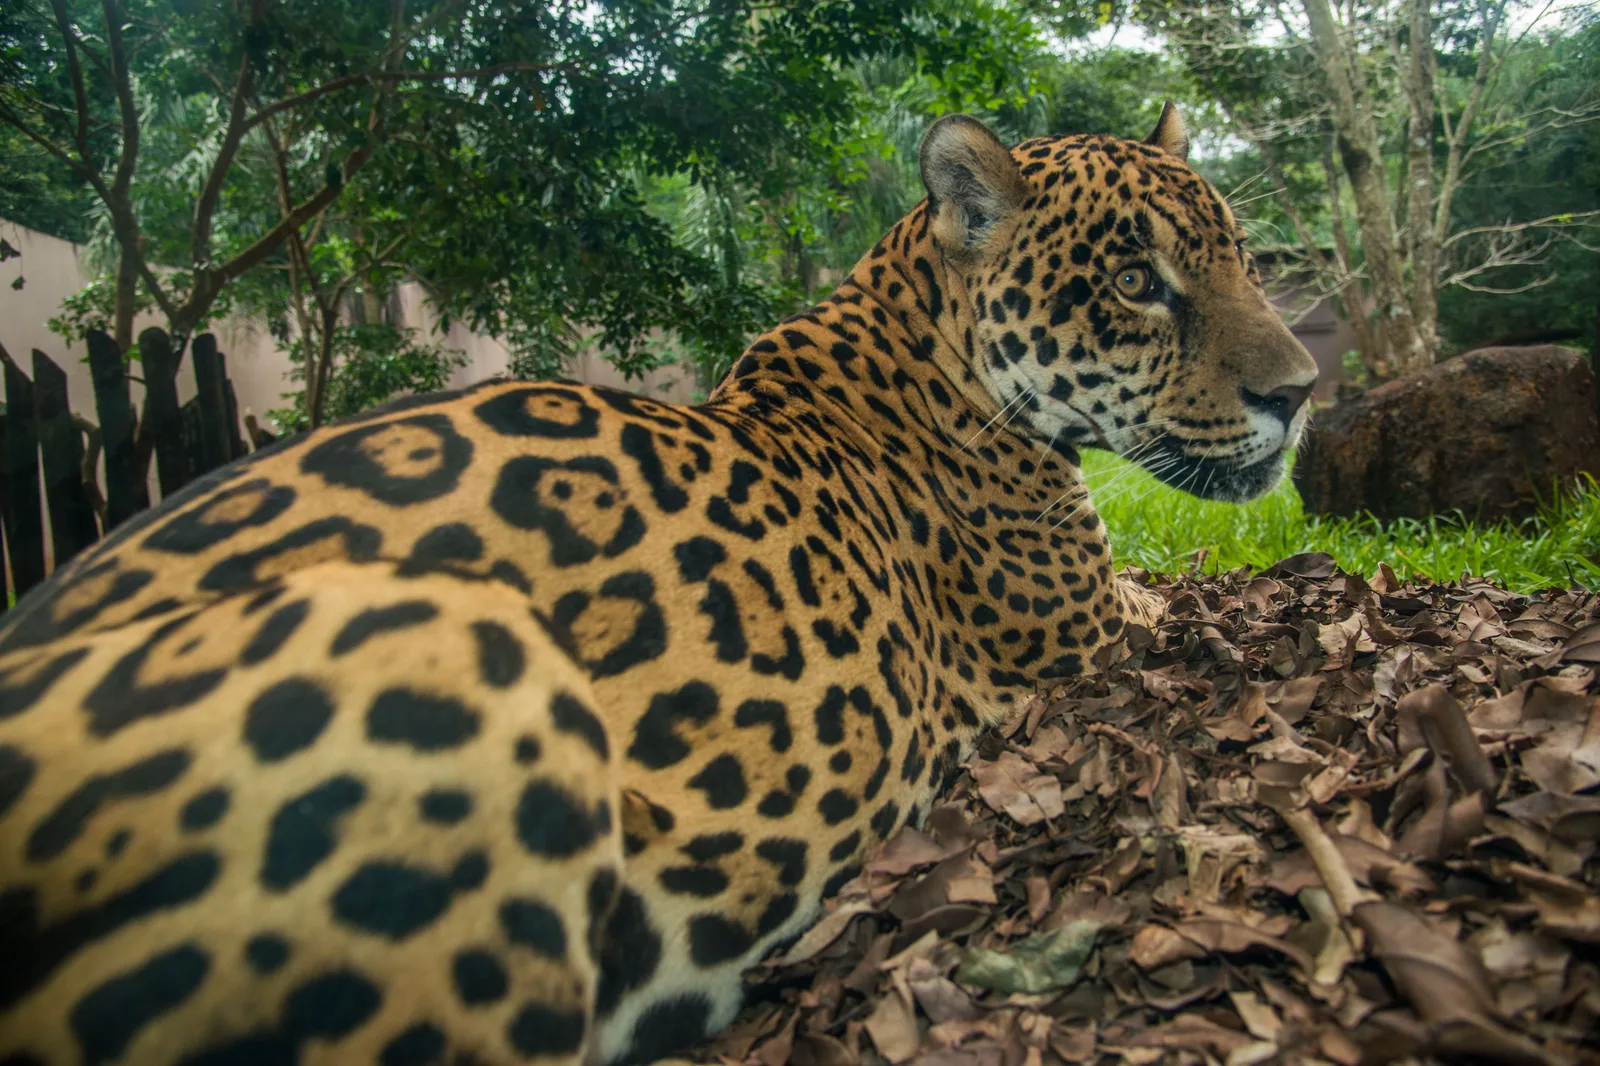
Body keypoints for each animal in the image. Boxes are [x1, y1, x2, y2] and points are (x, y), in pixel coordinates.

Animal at [0, 104, 1316, 1066]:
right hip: (453, 650)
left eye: (1241, 258)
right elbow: (1207, 576)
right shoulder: (1092, 618)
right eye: (1137, 283)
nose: (1301, 392)